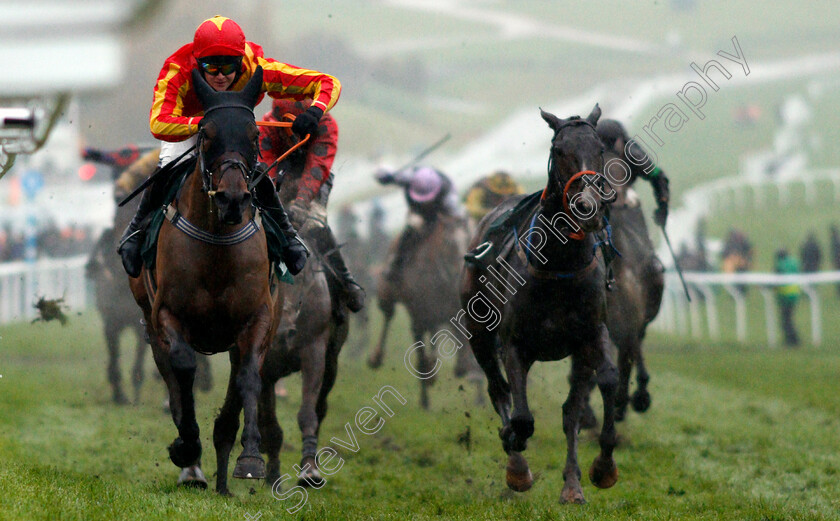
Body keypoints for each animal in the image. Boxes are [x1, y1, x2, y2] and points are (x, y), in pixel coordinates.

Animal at [460, 103, 616, 502]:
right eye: (559, 150)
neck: (560, 265)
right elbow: (522, 417)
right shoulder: (516, 343)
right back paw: (515, 457)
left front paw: (600, 468)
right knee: (498, 389)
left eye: (600, 149)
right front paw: (516, 459)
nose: (588, 206)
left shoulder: (590, 335)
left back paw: (572, 483)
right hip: (478, 331)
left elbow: (603, 384)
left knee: (571, 408)